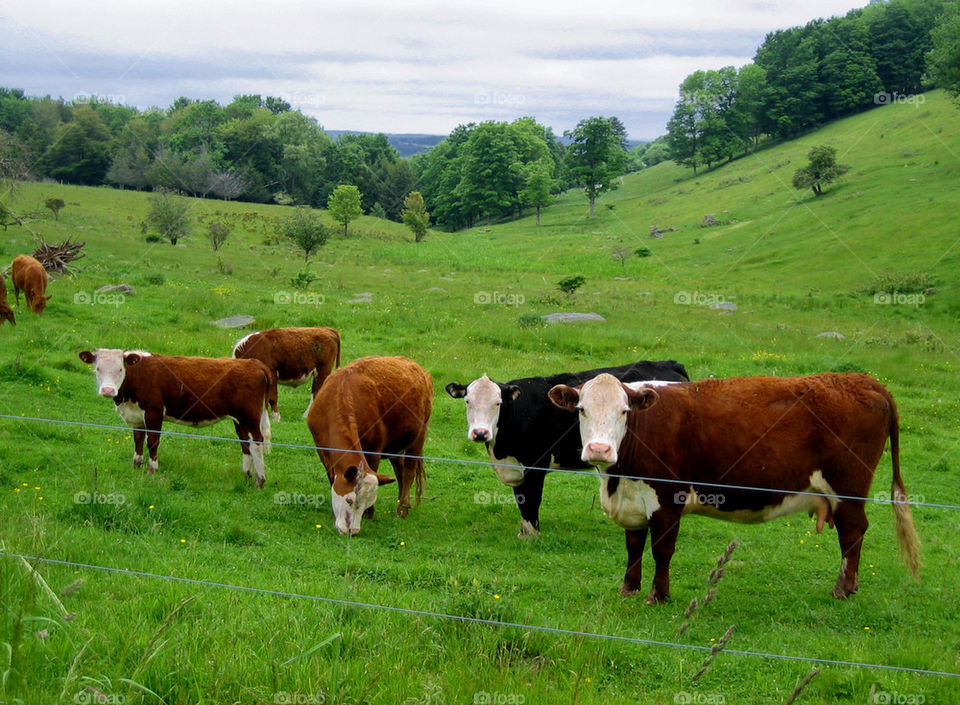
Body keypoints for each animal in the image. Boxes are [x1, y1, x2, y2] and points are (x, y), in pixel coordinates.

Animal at [78, 349, 273, 487]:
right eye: (98, 368)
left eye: (120, 369)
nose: (108, 390)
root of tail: (255, 363)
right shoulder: (138, 417)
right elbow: (138, 439)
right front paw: (136, 465)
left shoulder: (154, 412)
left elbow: (152, 441)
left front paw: (152, 469)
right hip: (239, 419)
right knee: (245, 443)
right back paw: (246, 475)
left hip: (251, 416)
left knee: (257, 442)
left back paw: (260, 480)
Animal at [306, 356, 432, 536]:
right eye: (349, 500)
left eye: (369, 501)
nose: (353, 530)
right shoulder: (322, 450)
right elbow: (332, 478)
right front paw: (332, 514)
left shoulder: (374, 450)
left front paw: (370, 514)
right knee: (400, 469)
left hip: (419, 435)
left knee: (409, 471)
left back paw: (402, 507)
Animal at [445, 360, 689, 538]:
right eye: (468, 401)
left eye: (498, 403)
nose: (480, 433)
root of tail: (670, 364)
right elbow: (521, 499)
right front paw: (524, 533)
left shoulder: (536, 465)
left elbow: (531, 500)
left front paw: (532, 536)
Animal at [548, 372, 921, 603]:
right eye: (581, 409)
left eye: (624, 411)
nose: (599, 450)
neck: (616, 480)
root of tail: (864, 380)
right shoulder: (634, 500)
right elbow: (634, 546)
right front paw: (629, 588)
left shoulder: (667, 499)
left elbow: (662, 549)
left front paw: (659, 595)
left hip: (848, 488)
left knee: (853, 531)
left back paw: (843, 589)